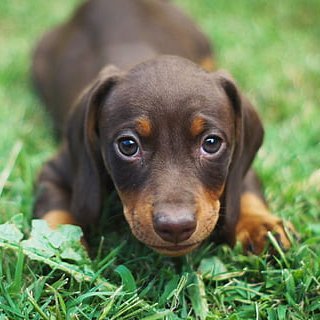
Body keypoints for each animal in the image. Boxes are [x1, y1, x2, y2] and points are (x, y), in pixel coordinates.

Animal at [31, 0, 290, 256]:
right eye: (128, 145)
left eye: (211, 143)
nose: (176, 227)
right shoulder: (56, 171)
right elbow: (54, 215)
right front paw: (53, 249)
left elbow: (247, 190)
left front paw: (261, 226)